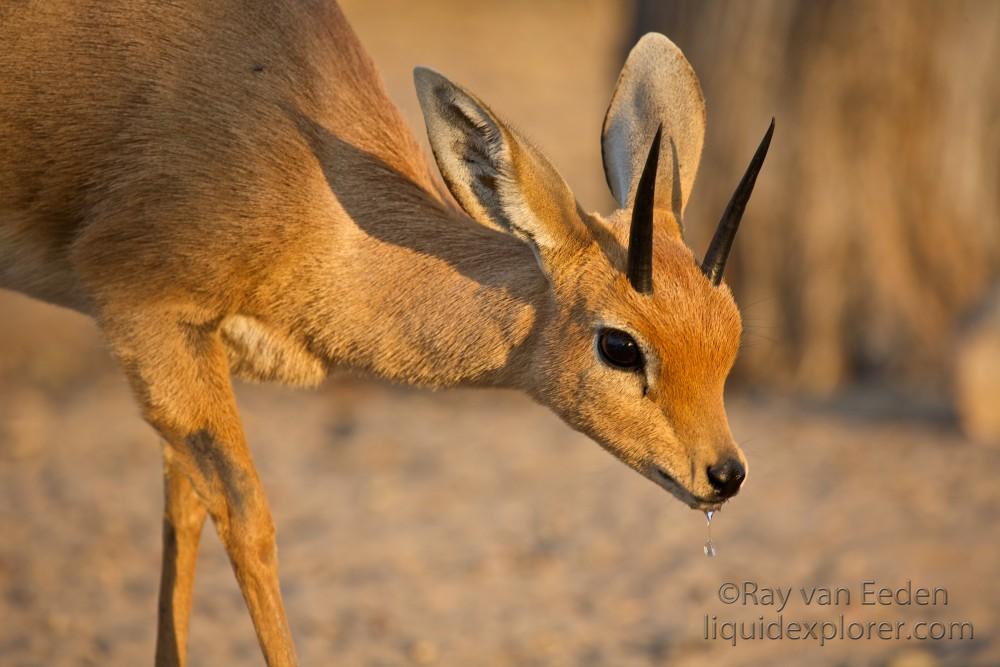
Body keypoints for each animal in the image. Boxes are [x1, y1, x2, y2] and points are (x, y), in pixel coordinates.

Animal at [0, 1, 772, 667]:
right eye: (620, 344)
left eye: (729, 334)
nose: (725, 474)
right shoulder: (147, 316)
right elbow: (248, 518)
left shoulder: (199, 344)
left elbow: (183, 506)